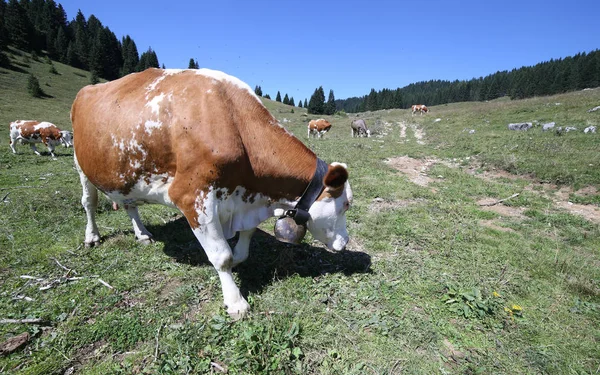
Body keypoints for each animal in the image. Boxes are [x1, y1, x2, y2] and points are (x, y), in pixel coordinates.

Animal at [71, 68, 352, 320]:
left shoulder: (247, 199)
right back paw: (92, 236)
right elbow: (221, 256)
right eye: (347, 204)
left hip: (126, 174)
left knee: (130, 204)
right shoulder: (192, 197)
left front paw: (238, 262)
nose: (346, 242)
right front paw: (235, 301)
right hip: (81, 163)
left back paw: (142, 234)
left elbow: (243, 245)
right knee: (89, 202)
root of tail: (86, 90)